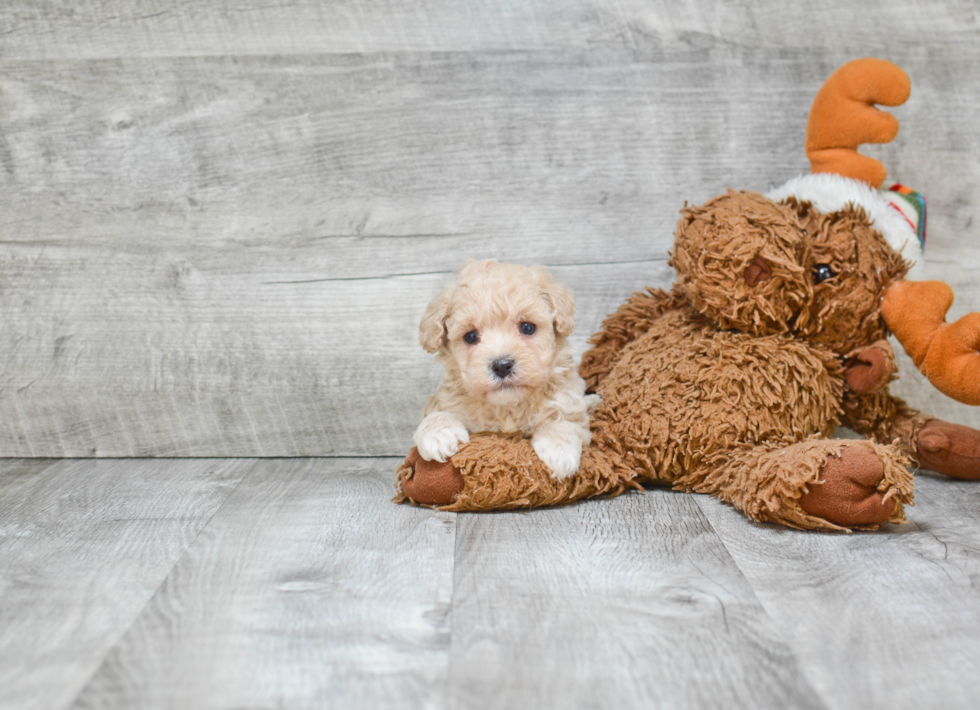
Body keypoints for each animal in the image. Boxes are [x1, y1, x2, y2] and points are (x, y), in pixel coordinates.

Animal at [412, 258, 592, 482]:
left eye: (527, 328)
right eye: (471, 336)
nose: (502, 365)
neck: (508, 407)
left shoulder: (571, 406)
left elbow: (565, 420)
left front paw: (559, 450)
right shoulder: (446, 399)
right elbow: (436, 413)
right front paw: (438, 434)